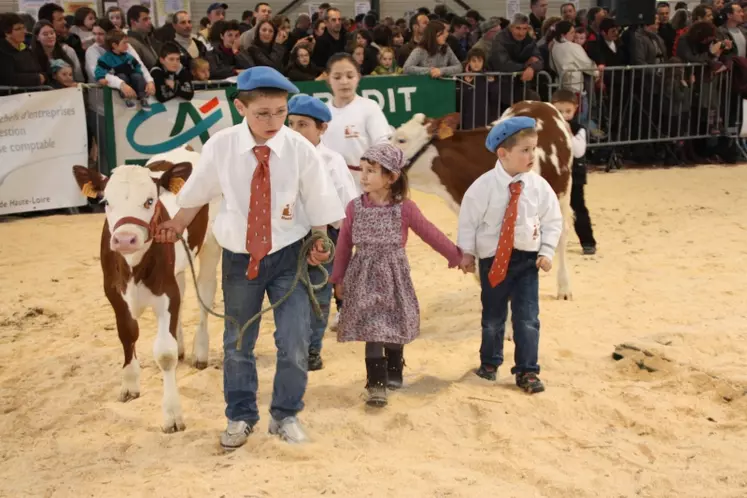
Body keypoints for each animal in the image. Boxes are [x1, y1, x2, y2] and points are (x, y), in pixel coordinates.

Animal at [73, 145, 222, 432]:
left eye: (150, 201)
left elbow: (165, 353)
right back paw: (183, 345)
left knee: (205, 293)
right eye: (106, 202)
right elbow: (127, 334)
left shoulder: (166, 292)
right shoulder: (114, 292)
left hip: (211, 244)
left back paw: (199, 352)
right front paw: (130, 384)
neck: (133, 268)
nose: (124, 239)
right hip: (178, 268)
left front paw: (172, 415)